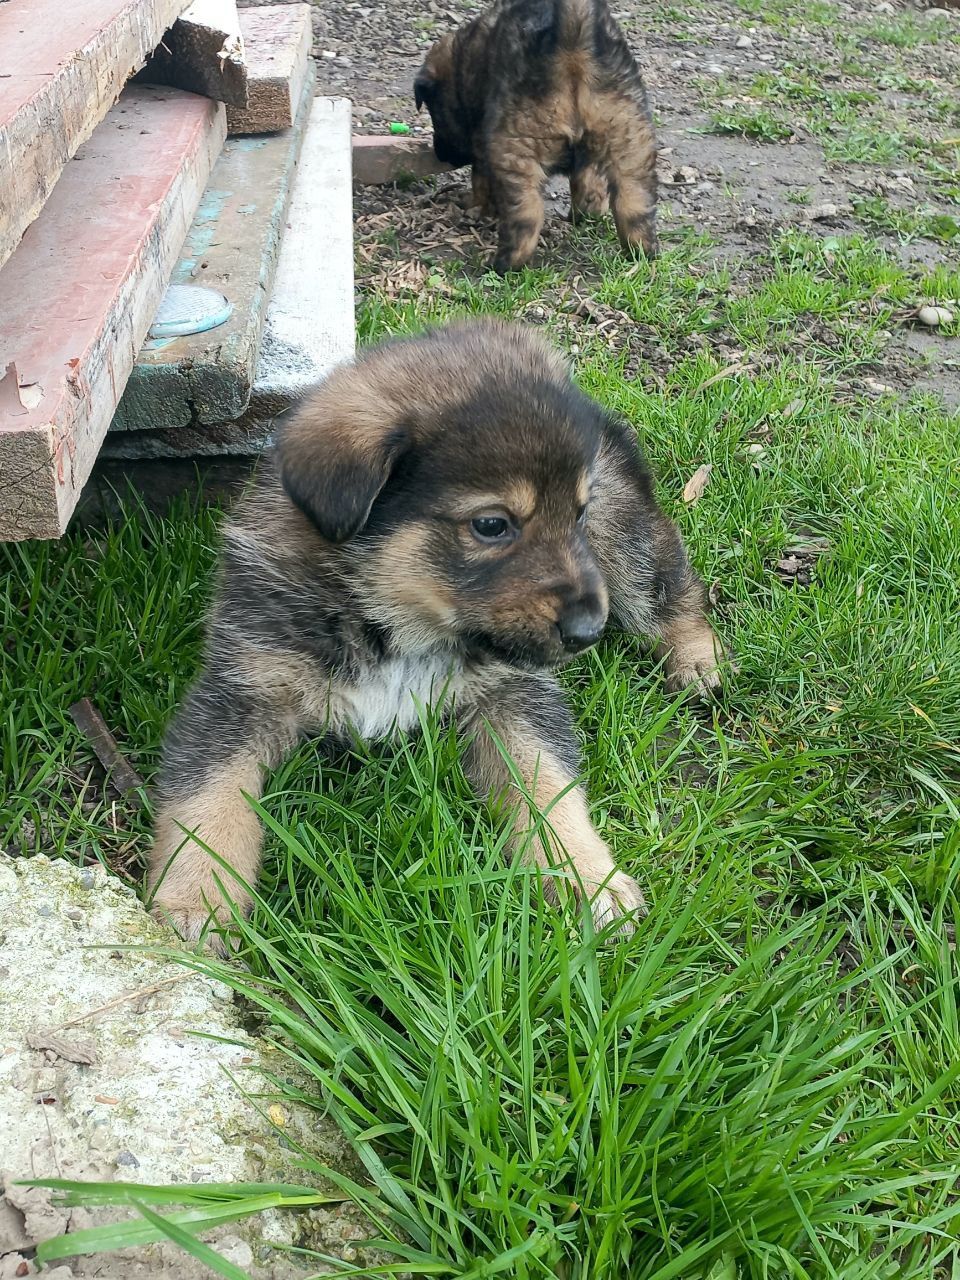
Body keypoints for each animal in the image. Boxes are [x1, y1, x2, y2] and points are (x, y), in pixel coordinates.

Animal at [146, 320, 727, 952]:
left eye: (576, 514)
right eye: (492, 525)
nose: (588, 632)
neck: (393, 626)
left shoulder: (513, 693)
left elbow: (547, 784)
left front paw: (586, 877)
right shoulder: (242, 687)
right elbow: (207, 798)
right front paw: (196, 900)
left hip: (623, 533)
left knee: (667, 581)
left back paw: (696, 661)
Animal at [414, 0, 660, 272]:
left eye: (435, 114)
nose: (441, 155)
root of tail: (573, 46)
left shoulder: (483, 145)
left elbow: (480, 181)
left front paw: (472, 204)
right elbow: (589, 186)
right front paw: (586, 212)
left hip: (514, 149)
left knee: (526, 218)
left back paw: (502, 264)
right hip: (631, 142)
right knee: (634, 205)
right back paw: (641, 254)